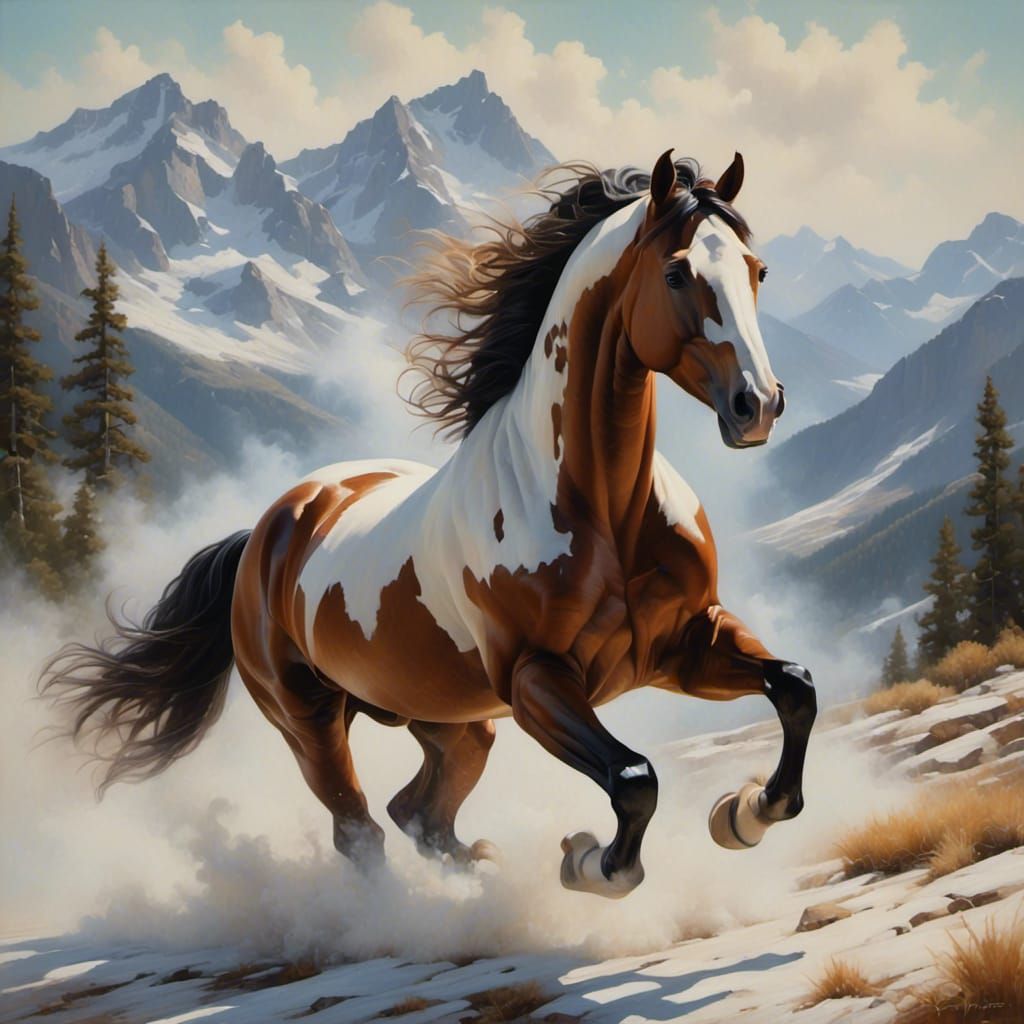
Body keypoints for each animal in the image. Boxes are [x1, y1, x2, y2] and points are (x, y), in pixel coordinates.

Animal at [42, 150, 816, 899]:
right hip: (308, 718)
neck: (602, 513)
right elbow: (634, 779)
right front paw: (589, 864)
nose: (758, 405)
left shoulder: (686, 641)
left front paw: (744, 813)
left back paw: (480, 871)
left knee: (419, 814)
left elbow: (795, 687)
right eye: (678, 272)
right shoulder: (536, 682)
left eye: (758, 270)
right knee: (361, 830)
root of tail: (266, 531)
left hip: (452, 722)